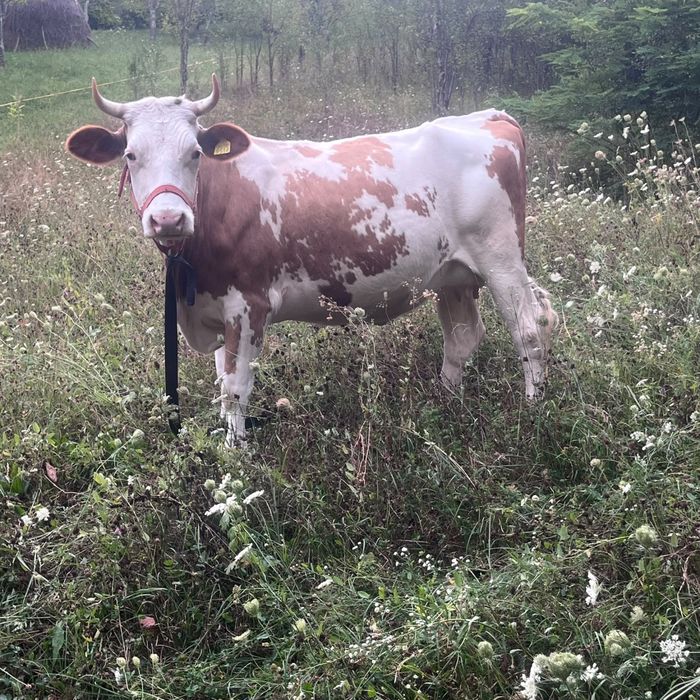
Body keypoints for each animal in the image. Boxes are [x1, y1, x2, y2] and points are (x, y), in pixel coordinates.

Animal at [66, 75, 556, 448]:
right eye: (131, 155)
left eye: (195, 153)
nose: (167, 218)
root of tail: (488, 116)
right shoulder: (216, 306)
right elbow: (222, 383)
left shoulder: (248, 305)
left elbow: (236, 389)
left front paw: (234, 455)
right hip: (452, 275)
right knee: (462, 338)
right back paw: (446, 400)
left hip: (502, 259)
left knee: (529, 330)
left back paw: (533, 410)